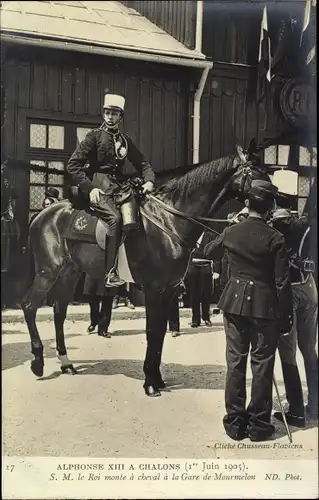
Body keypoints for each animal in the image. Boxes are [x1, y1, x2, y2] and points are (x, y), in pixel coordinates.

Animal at [20, 146, 272, 396]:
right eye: (256, 173)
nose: (271, 208)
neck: (169, 221)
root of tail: (42, 214)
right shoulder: (153, 289)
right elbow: (152, 332)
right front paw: (150, 383)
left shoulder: (169, 290)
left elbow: (160, 333)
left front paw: (157, 379)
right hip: (48, 271)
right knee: (29, 306)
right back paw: (37, 362)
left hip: (69, 272)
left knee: (58, 312)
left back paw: (66, 363)